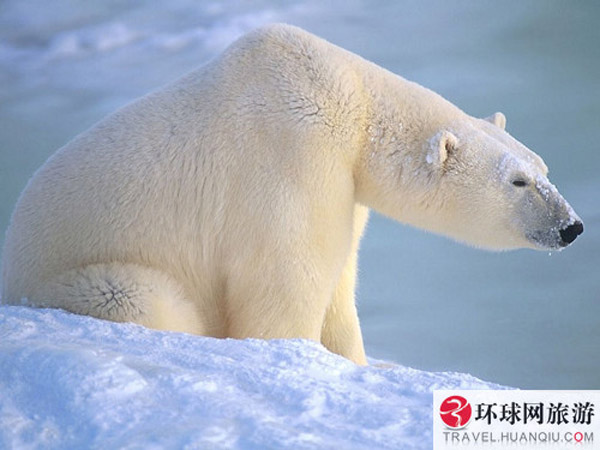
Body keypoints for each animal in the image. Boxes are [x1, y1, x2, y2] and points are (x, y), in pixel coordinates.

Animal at [0, 22, 580, 364]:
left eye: (544, 168)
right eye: (518, 181)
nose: (571, 226)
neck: (354, 105)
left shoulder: (345, 186)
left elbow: (340, 281)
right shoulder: (293, 155)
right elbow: (286, 276)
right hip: (80, 278)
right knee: (144, 298)